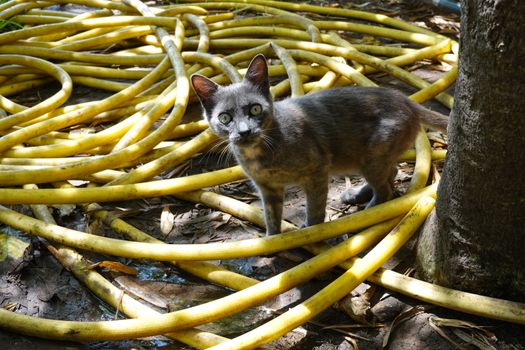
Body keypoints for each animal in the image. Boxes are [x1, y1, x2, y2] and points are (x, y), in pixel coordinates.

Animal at [190, 54, 448, 235]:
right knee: (391, 172)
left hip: (371, 157)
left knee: (385, 189)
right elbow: (271, 217)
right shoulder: (267, 188)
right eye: (225, 118)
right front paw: (272, 241)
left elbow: (315, 208)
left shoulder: (316, 171)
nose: (244, 131)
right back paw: (357, 195)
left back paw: (368, 213)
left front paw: (311, 232)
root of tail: (407, 100)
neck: (261, 153)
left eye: (255, 109)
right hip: (366, 157)